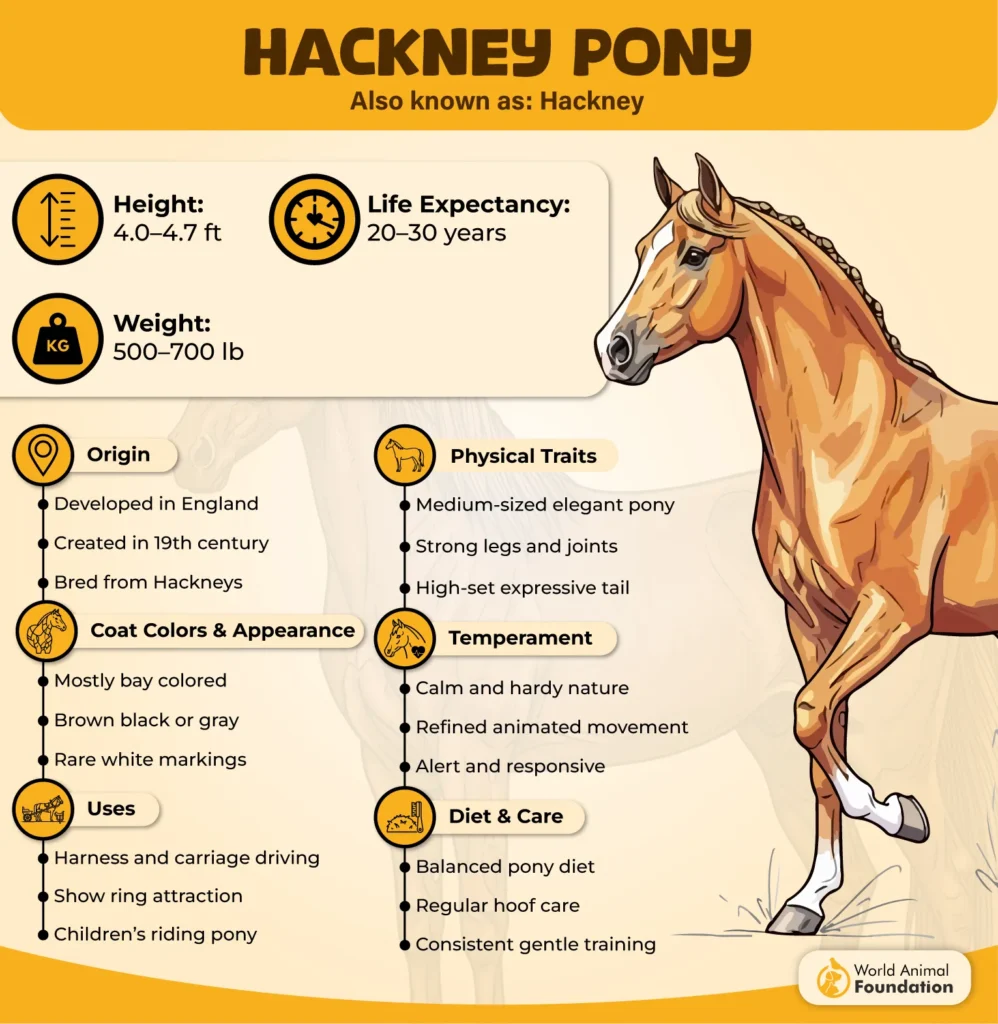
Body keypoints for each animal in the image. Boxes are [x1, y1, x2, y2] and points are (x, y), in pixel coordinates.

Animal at [595, 152, 998, 936]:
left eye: (694, 253)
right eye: (640, 251)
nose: (613, 350)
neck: (856, 445)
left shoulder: (893, 615)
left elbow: (809, 718)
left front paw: (898, 812)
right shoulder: (812, 622)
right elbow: (819, 748)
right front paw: (808, 900)